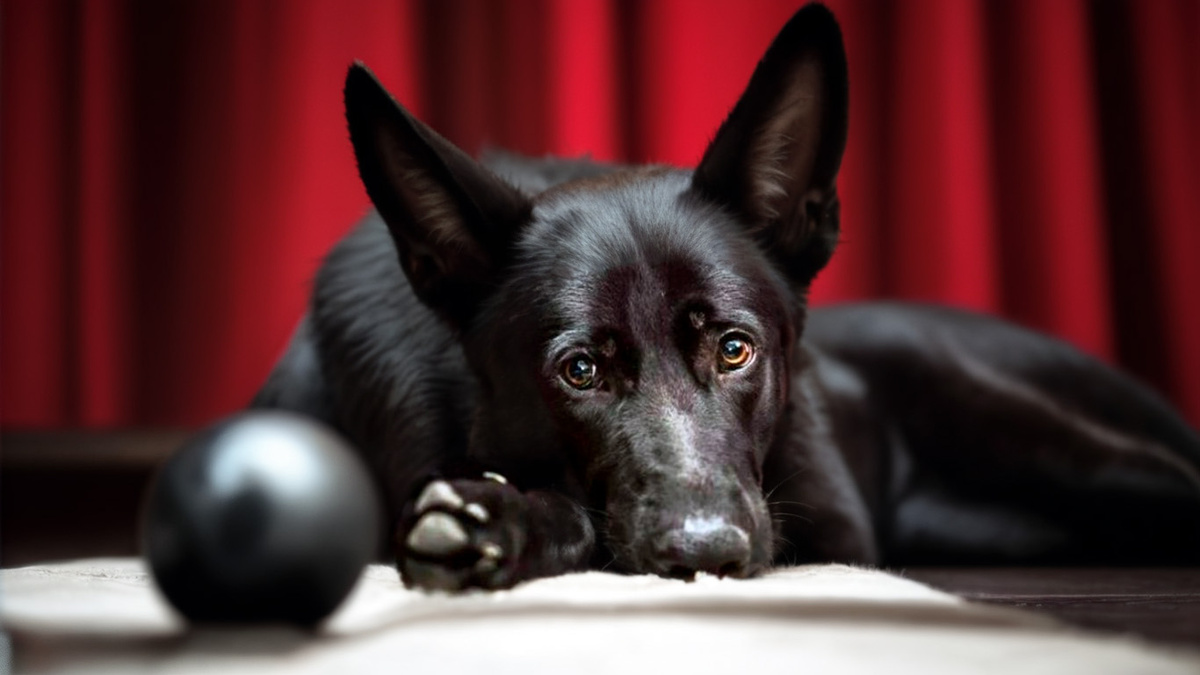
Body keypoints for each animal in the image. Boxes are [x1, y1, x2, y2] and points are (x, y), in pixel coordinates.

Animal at [253, 4, 1200, 591]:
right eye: (580, 369)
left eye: (735, 347)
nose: (707, 551)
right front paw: (494, 516)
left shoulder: (824, 522)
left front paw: (498, 516)